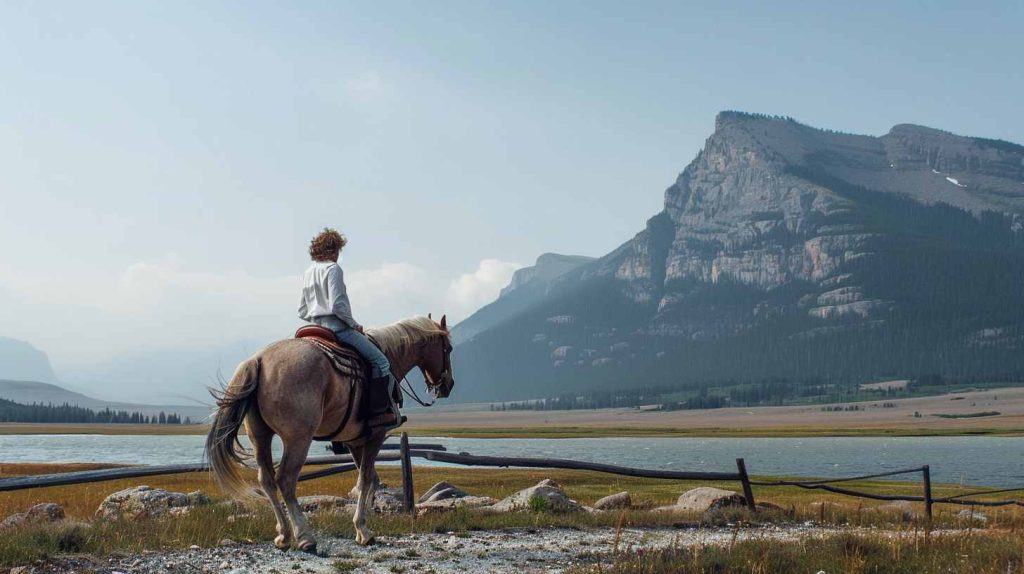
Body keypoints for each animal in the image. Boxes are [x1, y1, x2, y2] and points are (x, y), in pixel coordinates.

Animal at [203, 313, 452, 552]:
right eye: (448, 348)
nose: (448, 385)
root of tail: (258, 360)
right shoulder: (377, 434)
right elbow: (366, 478)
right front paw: (363, 530)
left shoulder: (354, 441)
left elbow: (369, 479)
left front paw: (363, 525)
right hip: (298, 438)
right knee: (285, 479)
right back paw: (305, 537)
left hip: (259, 437)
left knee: (266, 480)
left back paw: (284, 535)